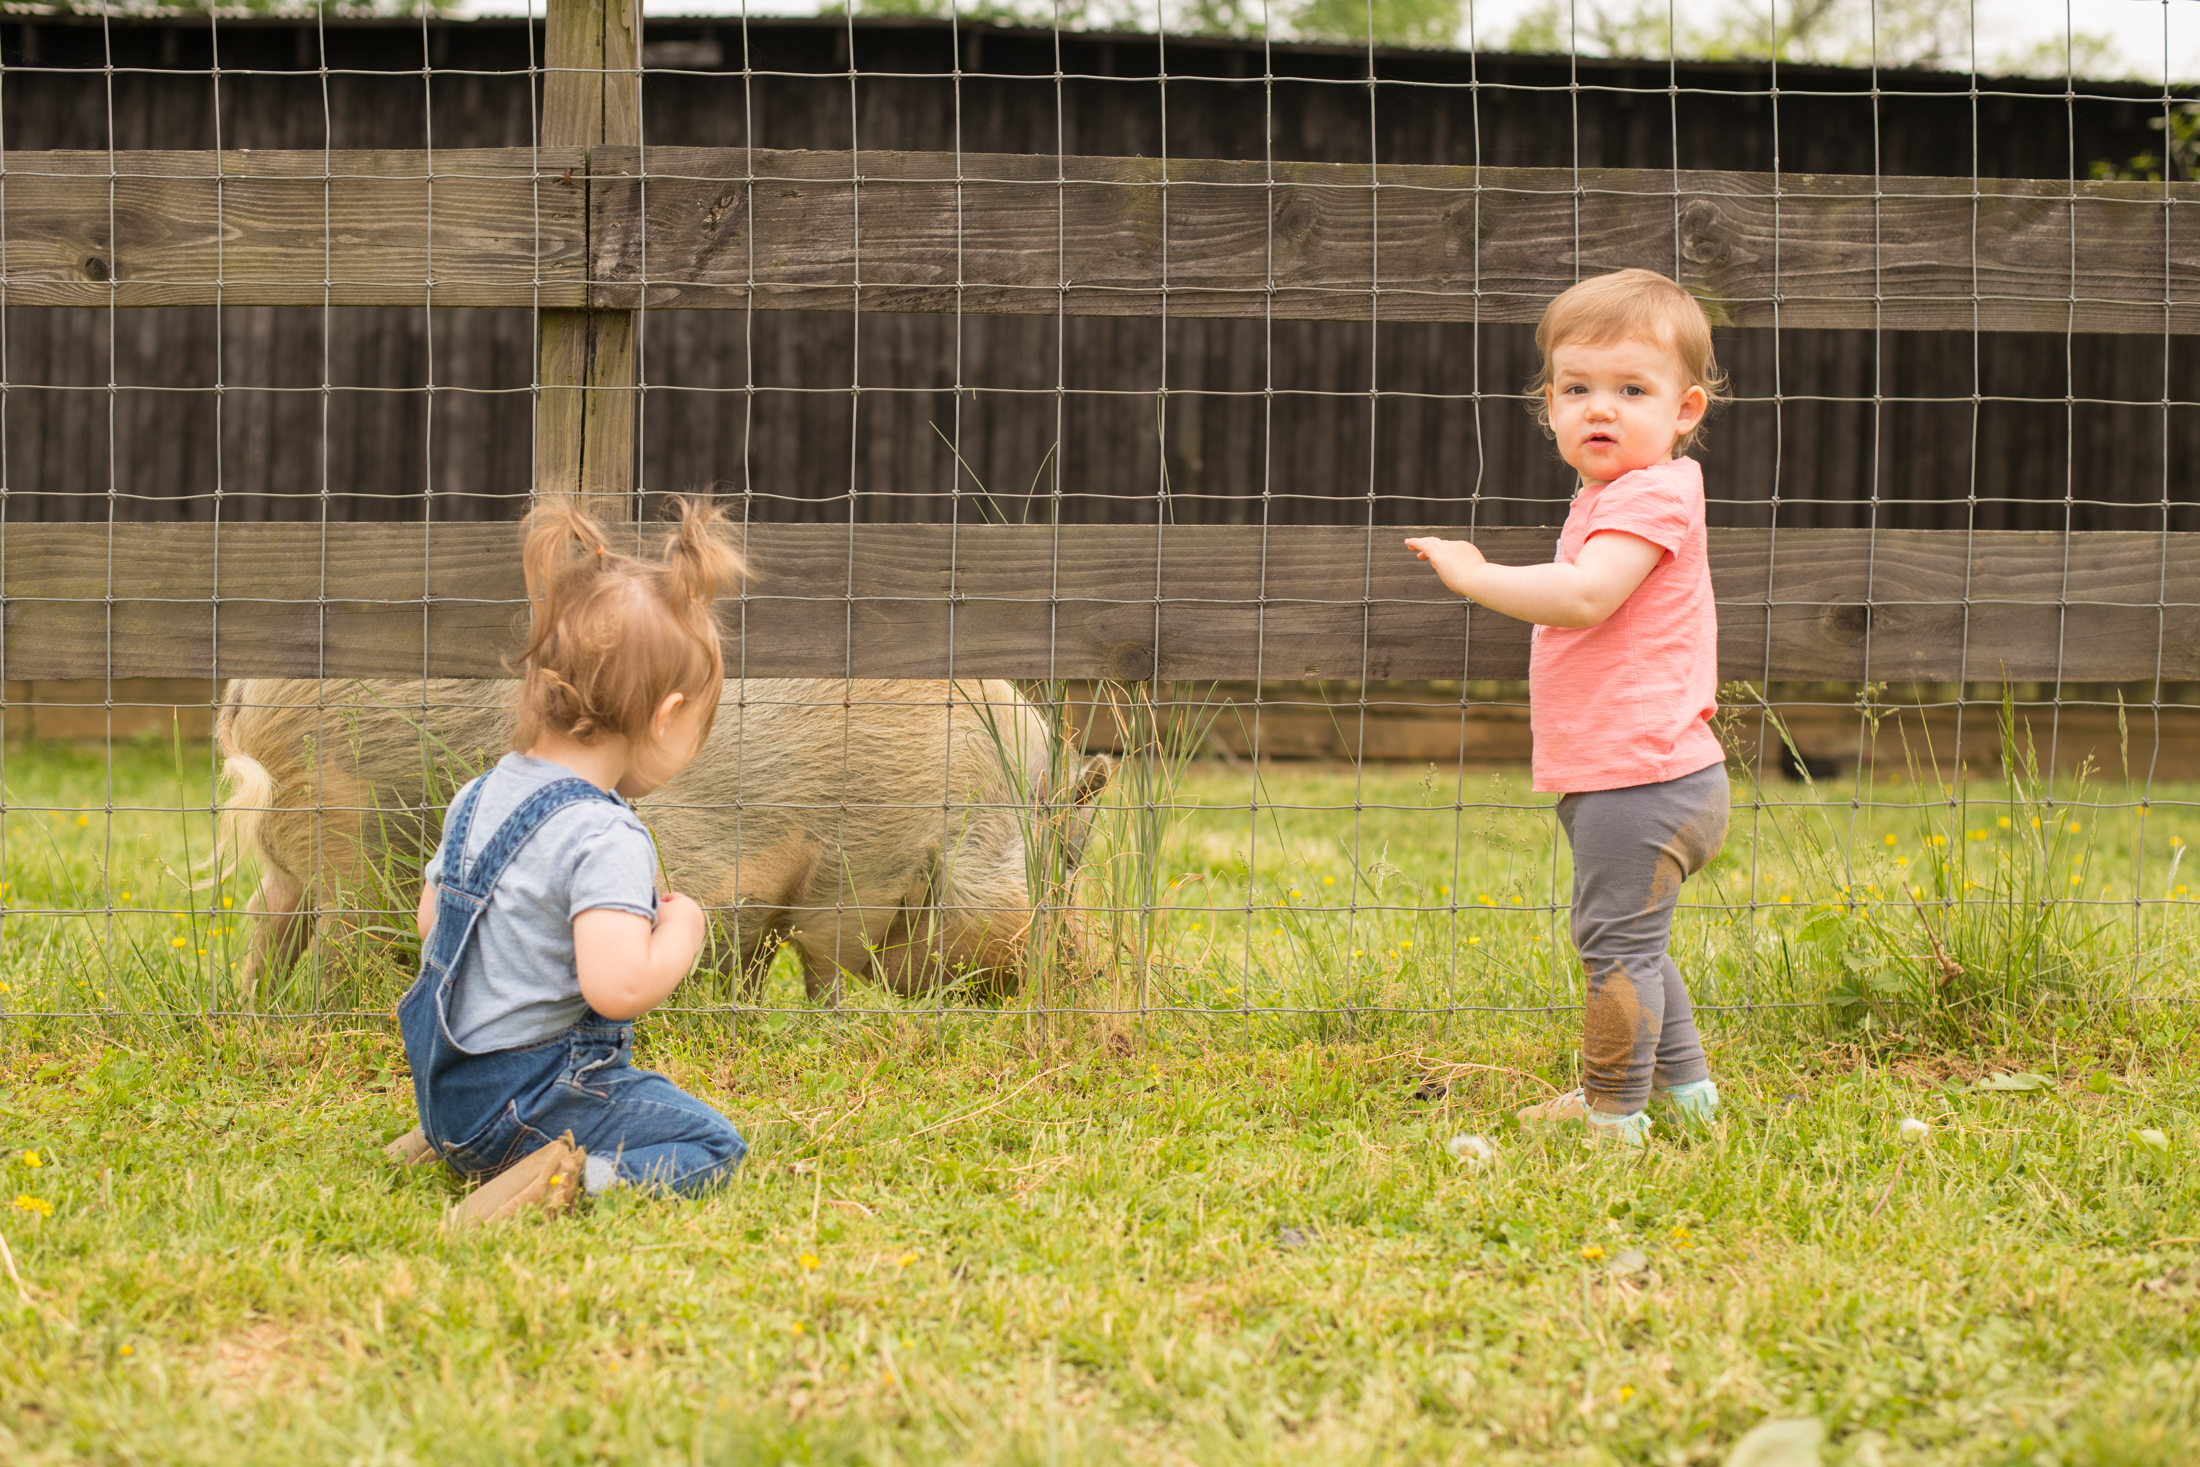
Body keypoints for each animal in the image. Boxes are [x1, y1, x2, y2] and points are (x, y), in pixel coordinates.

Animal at [214, 681, 1108, 1002]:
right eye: (1065, 861)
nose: (1086, 968)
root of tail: (250, 694)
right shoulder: (852, 866)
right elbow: (823, 964)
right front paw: (828, 1025)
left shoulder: (769, 889)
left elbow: (755, 958)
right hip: (346, 832)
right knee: (335, 943)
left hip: (297, 856)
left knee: (267, 921)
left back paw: (253, 1009)